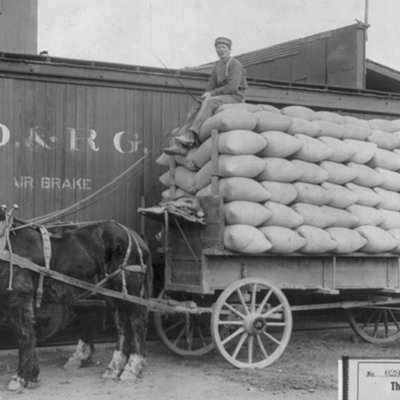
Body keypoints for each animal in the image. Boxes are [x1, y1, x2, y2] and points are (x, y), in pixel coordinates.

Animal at [0, 208, 152, 392]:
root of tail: (135, 235)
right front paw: (30, 376)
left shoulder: (18, 297)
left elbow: (24, 335)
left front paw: (22, 377)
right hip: (113, 293)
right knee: (122, 324)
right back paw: (113, 368)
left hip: (130, 288)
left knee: (137, 323)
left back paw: (132, 368)